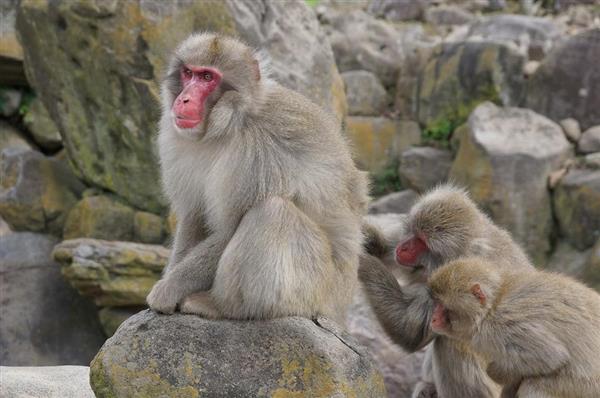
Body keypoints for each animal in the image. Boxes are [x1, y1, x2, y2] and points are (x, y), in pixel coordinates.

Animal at [146, 31, 370, 324]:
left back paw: (224, 306)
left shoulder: (258, 155)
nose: (183, 99)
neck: (228, 123)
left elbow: (229, 229)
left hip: (317, 289)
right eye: (188, 73)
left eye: (207, 77)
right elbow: (194, 216)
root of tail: (341, 309)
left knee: (271, 212)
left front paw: (168, 289)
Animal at [356, 184, 536, 398]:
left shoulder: (454, 285)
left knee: (450, 342)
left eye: (422, 242)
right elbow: (384, 248)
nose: (404, 247)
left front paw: (365, 263)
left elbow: (410, 330)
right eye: (414, 233)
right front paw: (363, 235)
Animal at [428, 258, 600, 398]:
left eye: (442, 305)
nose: (433, 318)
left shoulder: (500, 327)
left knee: (534, 384)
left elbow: (552, 355)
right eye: (435, 303)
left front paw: (495, 372)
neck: (489, 308)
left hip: (584, 388)